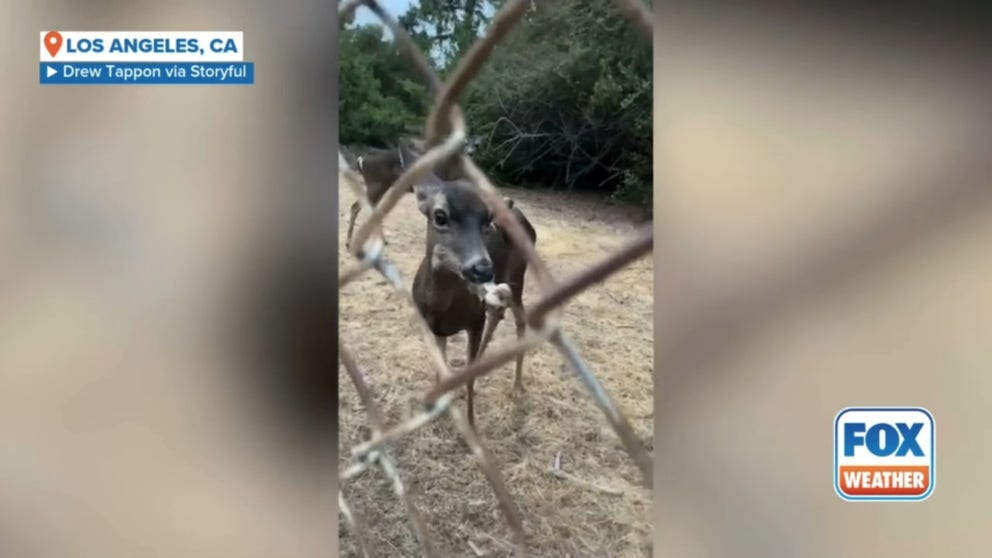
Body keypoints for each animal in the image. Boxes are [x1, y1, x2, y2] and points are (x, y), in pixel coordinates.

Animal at [408, 171, 536, 428]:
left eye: (487, 221)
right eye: (440, 215)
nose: (483, 269)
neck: (441, 308)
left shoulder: (474, 320)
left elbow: (468, 378)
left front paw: (471, 424)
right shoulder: (431, 325)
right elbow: (441, 365)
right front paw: (435, 402)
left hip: (517, 276)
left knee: (519, 317)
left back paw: (517, 387)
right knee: (497, 313)